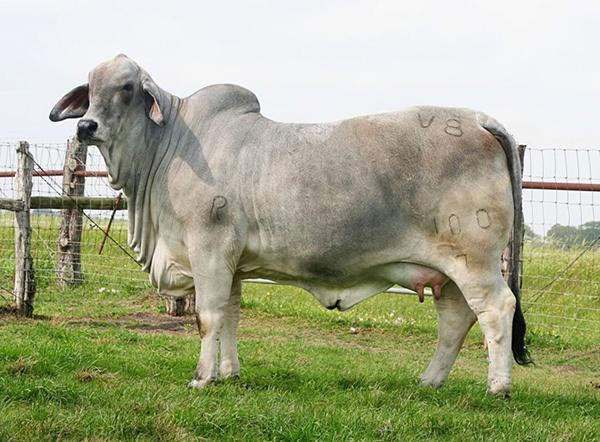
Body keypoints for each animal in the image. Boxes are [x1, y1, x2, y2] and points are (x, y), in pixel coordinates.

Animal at [50, 53, 528, 396]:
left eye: (128, 87)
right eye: (89, 89)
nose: (86, 125)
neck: (169, 145)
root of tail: (480, 119)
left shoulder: (208, 248)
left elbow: (208, 316)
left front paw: (203, 377)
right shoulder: (233, 262)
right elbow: (231, 315)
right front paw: (230, 373)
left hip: (473, 260)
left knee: (496, 309)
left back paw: (497, 388)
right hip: (448, 269)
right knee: (455, 320)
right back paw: (430, 381)